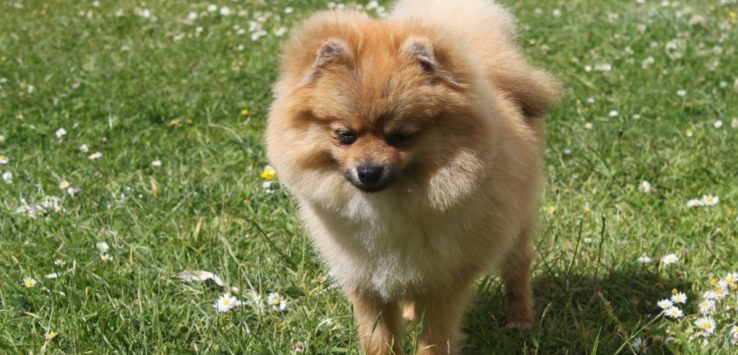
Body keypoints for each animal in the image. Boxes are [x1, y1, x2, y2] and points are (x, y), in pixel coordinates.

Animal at [268, 0, 560, 354]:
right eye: (345, 135)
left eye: (402, 137)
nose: (369, 171)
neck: (388, 206)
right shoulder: (365, 280)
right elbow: (378, 338)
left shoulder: (444, 280)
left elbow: (434, 338)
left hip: (515, 223)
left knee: (517, 267)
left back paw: (520, 320)